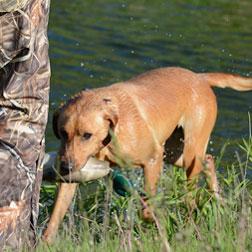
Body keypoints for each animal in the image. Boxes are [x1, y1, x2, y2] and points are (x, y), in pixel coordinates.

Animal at [42, 66, 252, 242]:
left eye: (87, 135)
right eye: (63, 133)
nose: (65, 167)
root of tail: (200, 77)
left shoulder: (153, 158)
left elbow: (148, 202)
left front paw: (152, 216)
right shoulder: (73, 174)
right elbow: (56, 215)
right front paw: (45, 241)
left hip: (190, 151)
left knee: (191, 193)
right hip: (175, 152)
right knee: (208, 160)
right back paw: (217, 199)